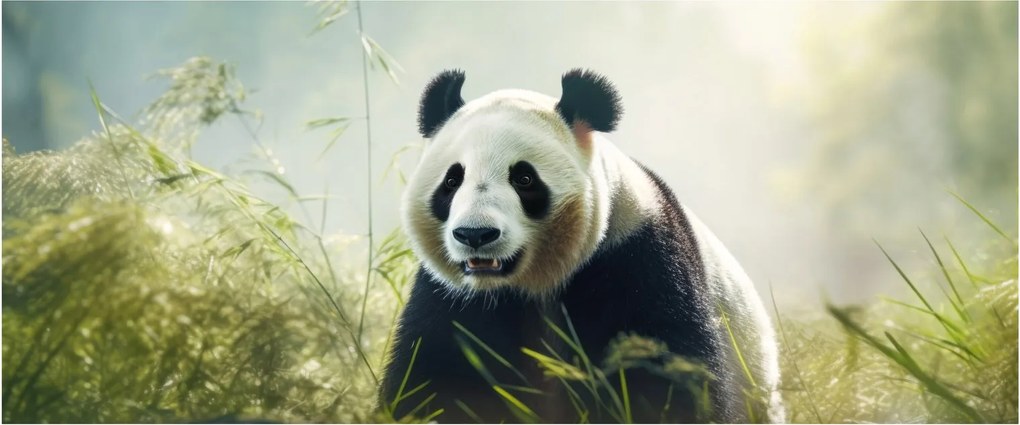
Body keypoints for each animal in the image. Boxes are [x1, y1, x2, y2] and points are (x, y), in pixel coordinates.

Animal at [379, 69, 784, 424]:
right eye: (452, 180)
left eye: (524, 178)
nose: (475, 235)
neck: (534, 282)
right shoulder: (453, 297)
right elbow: (438, 376)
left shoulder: (637, 256)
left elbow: (663, 373)